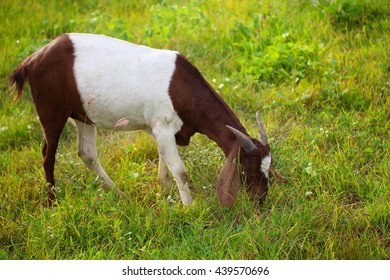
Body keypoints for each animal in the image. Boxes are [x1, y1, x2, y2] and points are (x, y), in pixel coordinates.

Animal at [9, 33, 284, 208]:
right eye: (248, 169)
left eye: (268, 169)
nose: (261, 199)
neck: (180, 86)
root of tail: (32, 60)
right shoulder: (163, 128)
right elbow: (180, 170)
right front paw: (190, 207)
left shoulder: (162, 131)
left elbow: (164, 163)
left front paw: (165, 192)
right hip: (51, 111)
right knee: (48, 155)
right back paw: (52, 201)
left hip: (83, 114)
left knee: (87, 154)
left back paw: (119, 194)